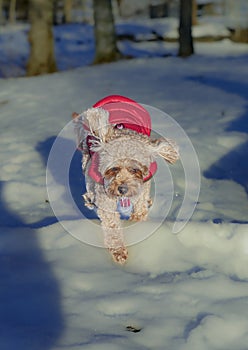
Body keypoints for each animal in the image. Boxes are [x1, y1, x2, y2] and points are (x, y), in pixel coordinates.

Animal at [71, 94, 178, 264]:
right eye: (113, 168)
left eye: (135, 169)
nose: (122, 189)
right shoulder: (104, 195)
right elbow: (112, 225)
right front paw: (118, 252)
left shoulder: (142, 187)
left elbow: (140, 210)